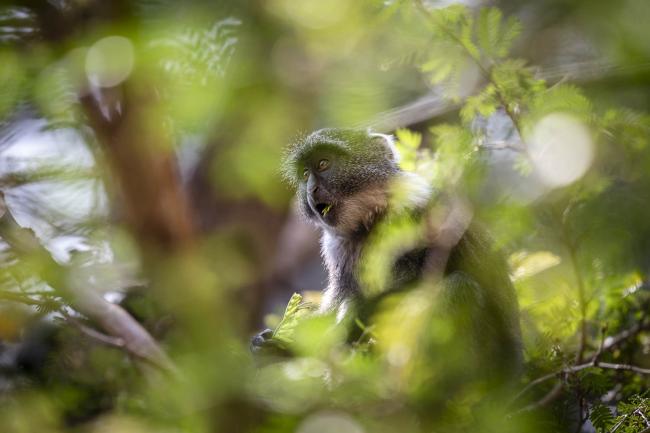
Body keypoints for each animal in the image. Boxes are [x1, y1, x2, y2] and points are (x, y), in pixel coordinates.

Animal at [254, 128, 522, 384]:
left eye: (323, 164)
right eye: (305, 174)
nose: (312, 189)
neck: (369, 220)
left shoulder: (414, 213)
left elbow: (415, 283)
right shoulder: (336, 247)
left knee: (458, 287)